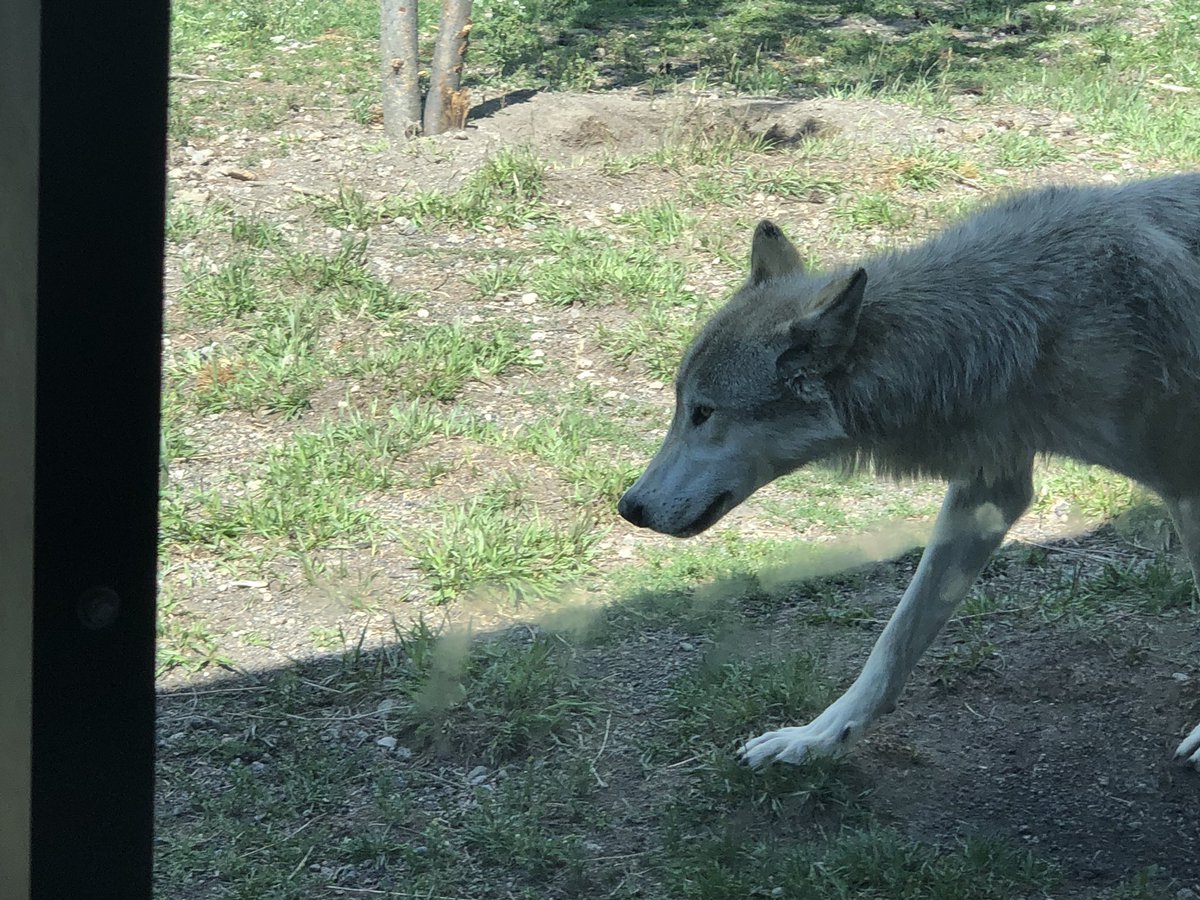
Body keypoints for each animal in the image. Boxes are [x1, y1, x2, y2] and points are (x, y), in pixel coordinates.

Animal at [618, 174, 1200, 771]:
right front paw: (816, 737)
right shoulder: (988, 491)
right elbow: (895, 638)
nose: (628, 507)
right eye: (680, 405)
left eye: (704, 412)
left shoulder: (1186, 490)